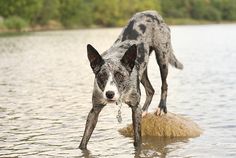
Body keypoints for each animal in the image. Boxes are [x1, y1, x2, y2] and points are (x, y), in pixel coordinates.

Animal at [79, 10, 183, 149]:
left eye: (120, 75)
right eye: (102, 76)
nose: (109, 94)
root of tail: (153, 12)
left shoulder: (134, 108)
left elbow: (138, 140)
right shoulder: (94, 110)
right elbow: (84, 140)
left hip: (162, 57)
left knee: (164, 85)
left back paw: (161, 108)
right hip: (142, 70)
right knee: (150, 89)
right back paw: (144, 110)